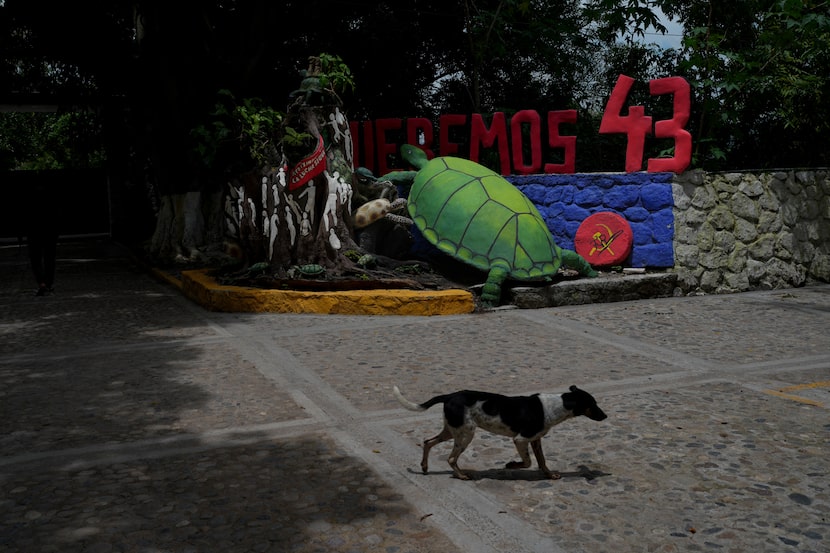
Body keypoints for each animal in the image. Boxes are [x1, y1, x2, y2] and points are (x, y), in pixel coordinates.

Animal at [394, 384, 608, 478]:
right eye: (593, 404)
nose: (606, 416)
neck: (557, 406)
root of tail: (449, 396)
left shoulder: (535, 440)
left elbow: (542, 461)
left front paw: (549, 475)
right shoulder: (520, 440)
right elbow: (528, 462)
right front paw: (511, 465)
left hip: (451, 431)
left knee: (428, 442)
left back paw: (424, 467)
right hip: (466, 434)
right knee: (451, 458)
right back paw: (461, 475)